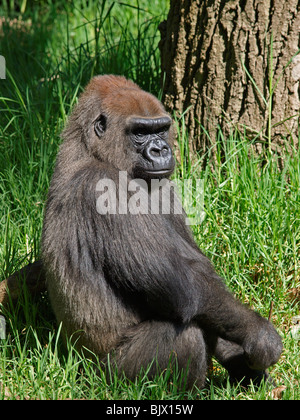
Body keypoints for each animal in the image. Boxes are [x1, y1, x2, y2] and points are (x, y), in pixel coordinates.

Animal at [41, 74, 282, 388]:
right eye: (140, 132)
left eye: (161, 129)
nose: (161, 150)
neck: (89, 150)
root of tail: (81, 369)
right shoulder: (104, 187)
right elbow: (187, 286)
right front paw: (260, 335)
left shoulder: (162, 184)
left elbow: (205, 281)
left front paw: (244, 362)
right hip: (109, 377)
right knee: (186, 333)